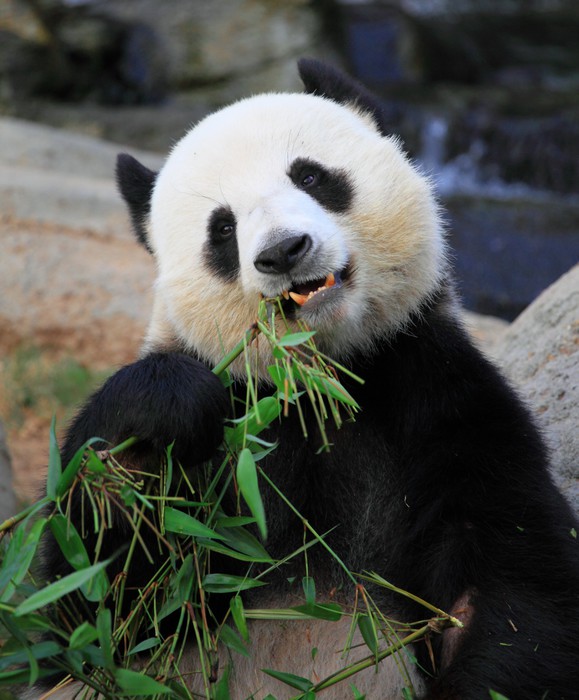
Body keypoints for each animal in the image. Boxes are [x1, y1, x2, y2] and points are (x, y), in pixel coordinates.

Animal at [36, 59, 579, 699]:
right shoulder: (236, 453)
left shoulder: (438, 399)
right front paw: (165, 411)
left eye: (313, 176)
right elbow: (102, 603)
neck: (322, 384)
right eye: (222, 230)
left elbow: (513, 596)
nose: (285, 251)